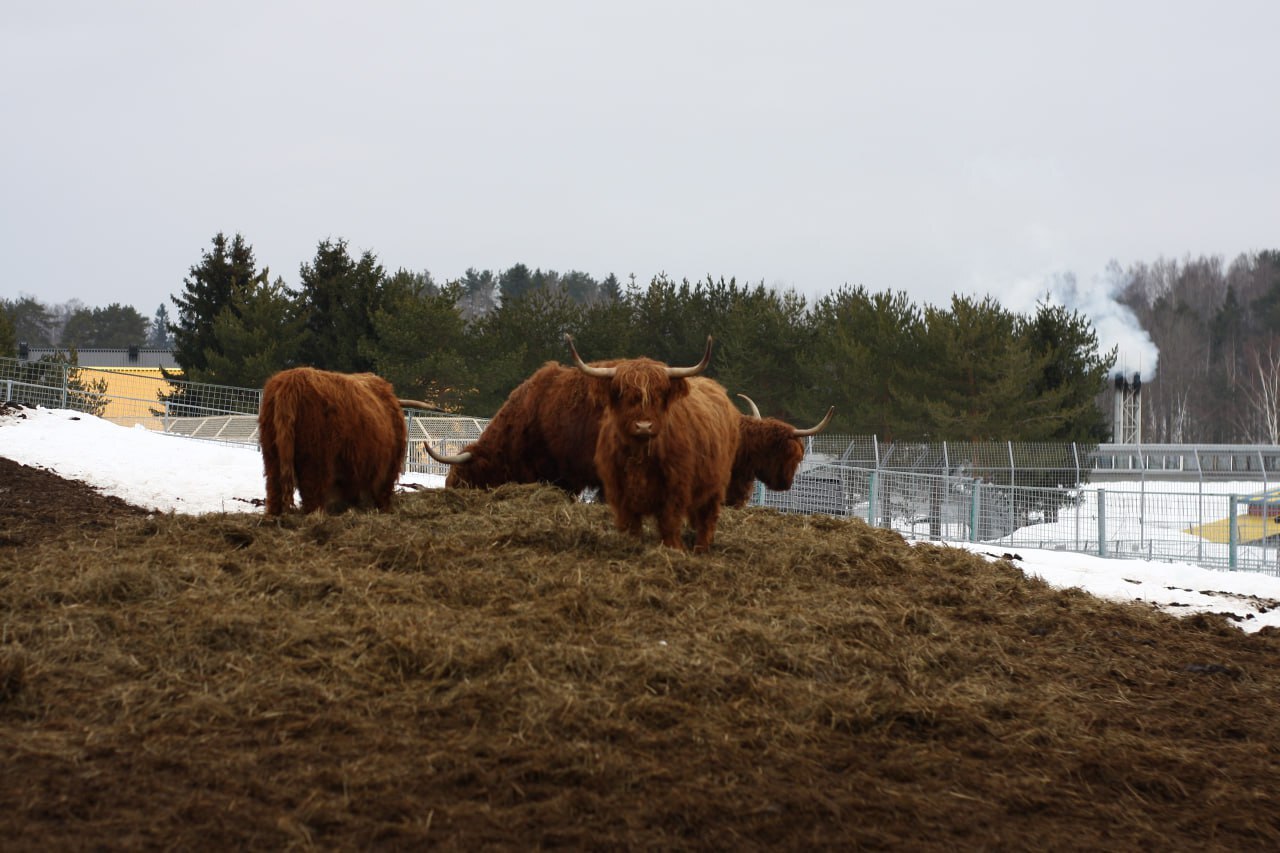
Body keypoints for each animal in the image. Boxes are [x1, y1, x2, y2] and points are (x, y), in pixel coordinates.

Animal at [573, 333, 742, 550]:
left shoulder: (676, 486)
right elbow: (630, 524)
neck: (640, 455)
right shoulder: (618, 490)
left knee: (707, 519)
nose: (644, 426)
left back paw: (701, 549)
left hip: (716, 484)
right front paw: (632, 545)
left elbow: (669, 522)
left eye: (659, 395)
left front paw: (674, 549)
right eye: (624, 394)